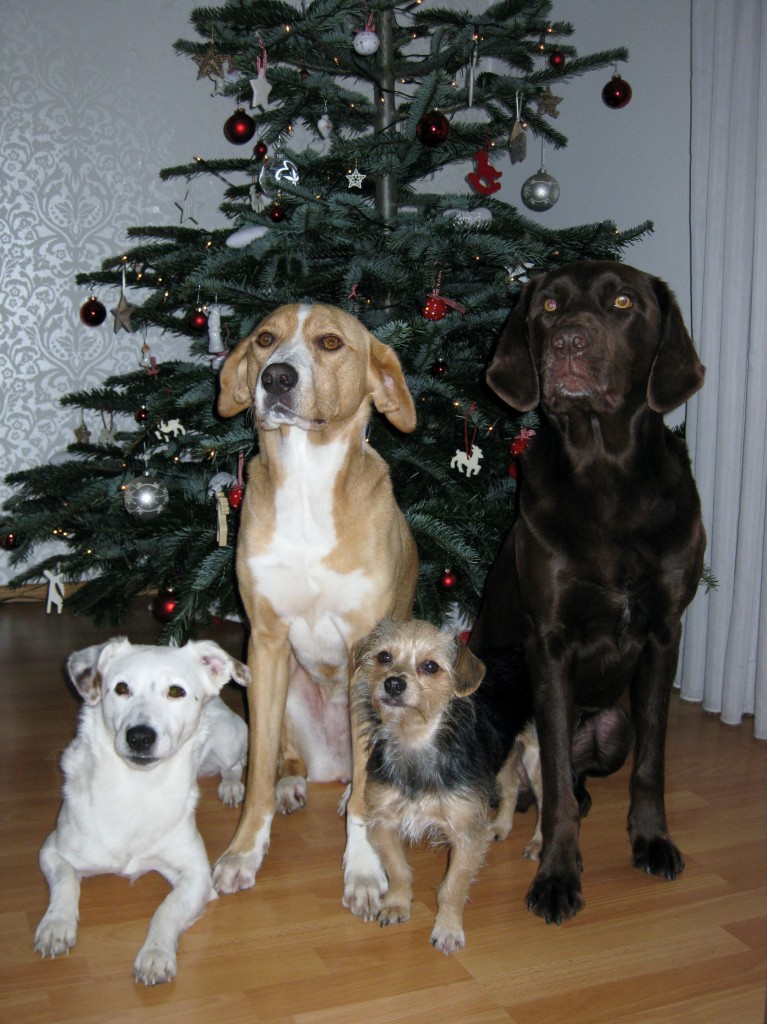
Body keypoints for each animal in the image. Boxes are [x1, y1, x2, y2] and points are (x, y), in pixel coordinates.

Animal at [35, 638, 248, 983]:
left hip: (230, 740)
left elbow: (166, 910)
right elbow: (67, 881)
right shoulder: (52, 850)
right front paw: (56, 925)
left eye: (176, 691)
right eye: (121, 688)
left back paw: (231, 786)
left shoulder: (197, 875)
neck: (138, 788)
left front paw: (155, 954)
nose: (139, 736)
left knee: (236, 764)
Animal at [215, 299, 415, 917]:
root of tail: (331, 762)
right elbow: (255, 775)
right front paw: (243, 852)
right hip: (279, 692)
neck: (305, 483)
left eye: (330, 342)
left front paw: (365, 871)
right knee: (284, 759)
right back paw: (294, 783)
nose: (276, 377)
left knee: (366, 778)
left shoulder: (367, 653)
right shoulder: (265, 641)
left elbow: (368, 805)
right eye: (264, 339)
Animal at [350, 618, 540, 954]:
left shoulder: (465, 834)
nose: (393, 684)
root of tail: (518, 651)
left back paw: (538, 843)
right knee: (511, 786)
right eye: (384, 657)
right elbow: (398, 870)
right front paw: (397, 905)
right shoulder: (383, 822)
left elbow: (452, 888)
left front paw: (448, 929)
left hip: (536, 758)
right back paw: (500, 826)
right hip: (501, 757)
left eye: (430, 666)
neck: (415, 741)